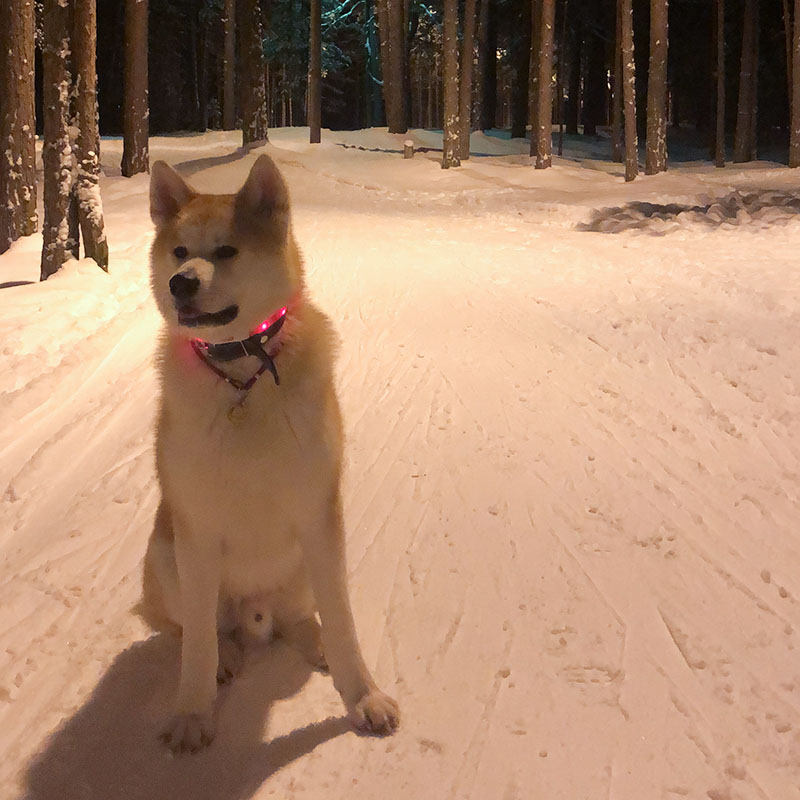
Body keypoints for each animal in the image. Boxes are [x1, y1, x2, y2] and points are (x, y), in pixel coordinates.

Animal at [139, 153, 400, 752]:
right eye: (180, 251)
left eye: (227, 251)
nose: (181, 283)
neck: (242, 376)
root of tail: (257, 616)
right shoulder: (196, 529)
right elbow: (196, 643)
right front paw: (194, 711)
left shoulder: (320, 518)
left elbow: (345, 622)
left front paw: (363, 697)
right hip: (165, 552)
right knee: (202, 629)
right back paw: (224, 657)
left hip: (305, 566)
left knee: (305, 617)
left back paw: (315, 641)